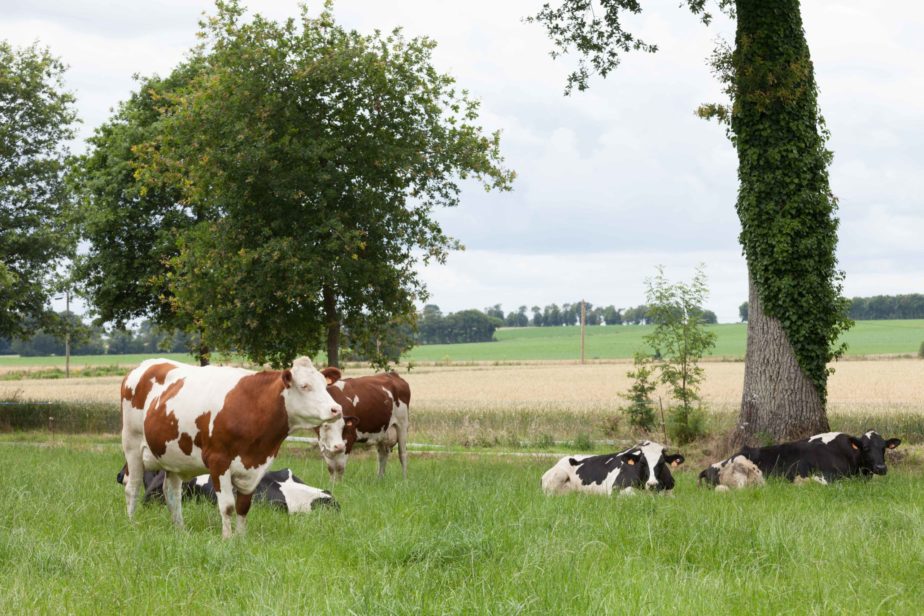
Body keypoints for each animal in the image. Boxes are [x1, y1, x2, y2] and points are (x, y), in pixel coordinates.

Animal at [121, 358, 342, 536]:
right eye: (305, 386)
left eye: (325, 385)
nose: (336, 409)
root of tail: (144, 365)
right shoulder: (218, 461)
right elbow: (227, 506)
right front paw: (227, 539)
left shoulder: (255, 467)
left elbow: (243, 506)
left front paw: (241, 539)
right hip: (132, 445)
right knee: (132, 487)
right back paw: (132, 525)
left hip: (172, 458)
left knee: (172, 493)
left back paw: (180, 531)